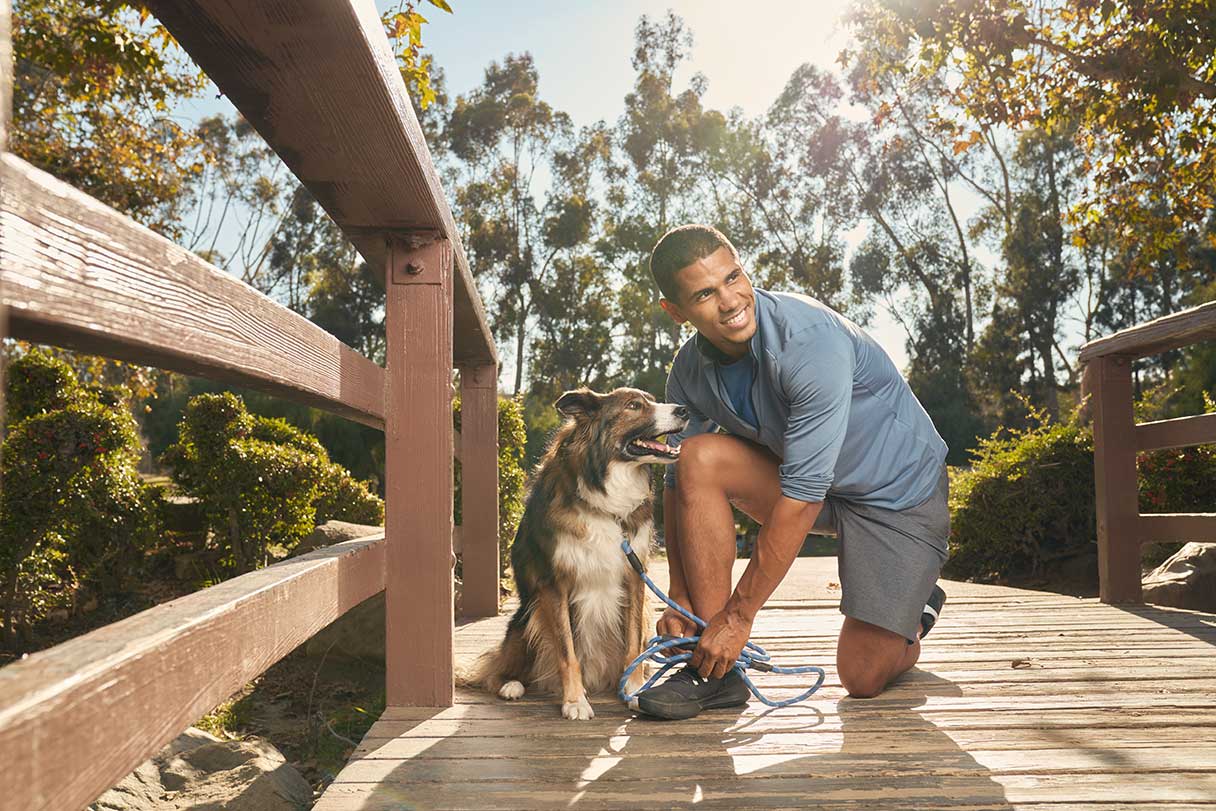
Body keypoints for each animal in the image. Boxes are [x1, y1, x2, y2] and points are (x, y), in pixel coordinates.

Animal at [469, 389, 690, 719]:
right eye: (634, 406)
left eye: (651, 399)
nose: (685, 410)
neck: (607, 498)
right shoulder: (554, 585)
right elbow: (566, 650)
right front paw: (574, 700)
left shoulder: (634, 578)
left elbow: (633, 644)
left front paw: (633, 687)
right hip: (527, 616)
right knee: (495, 669)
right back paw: (511, 685)